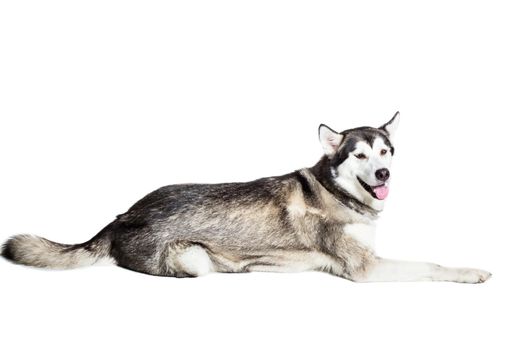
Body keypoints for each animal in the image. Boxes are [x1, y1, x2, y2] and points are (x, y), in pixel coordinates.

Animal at [1, 113, 492, 284]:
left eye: (385, 152)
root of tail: (122, 215)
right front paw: (472, 273)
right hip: (192, 260)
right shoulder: (366, 268)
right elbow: (432, 264)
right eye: (360, 155)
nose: (385, 173)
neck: (337, 190)